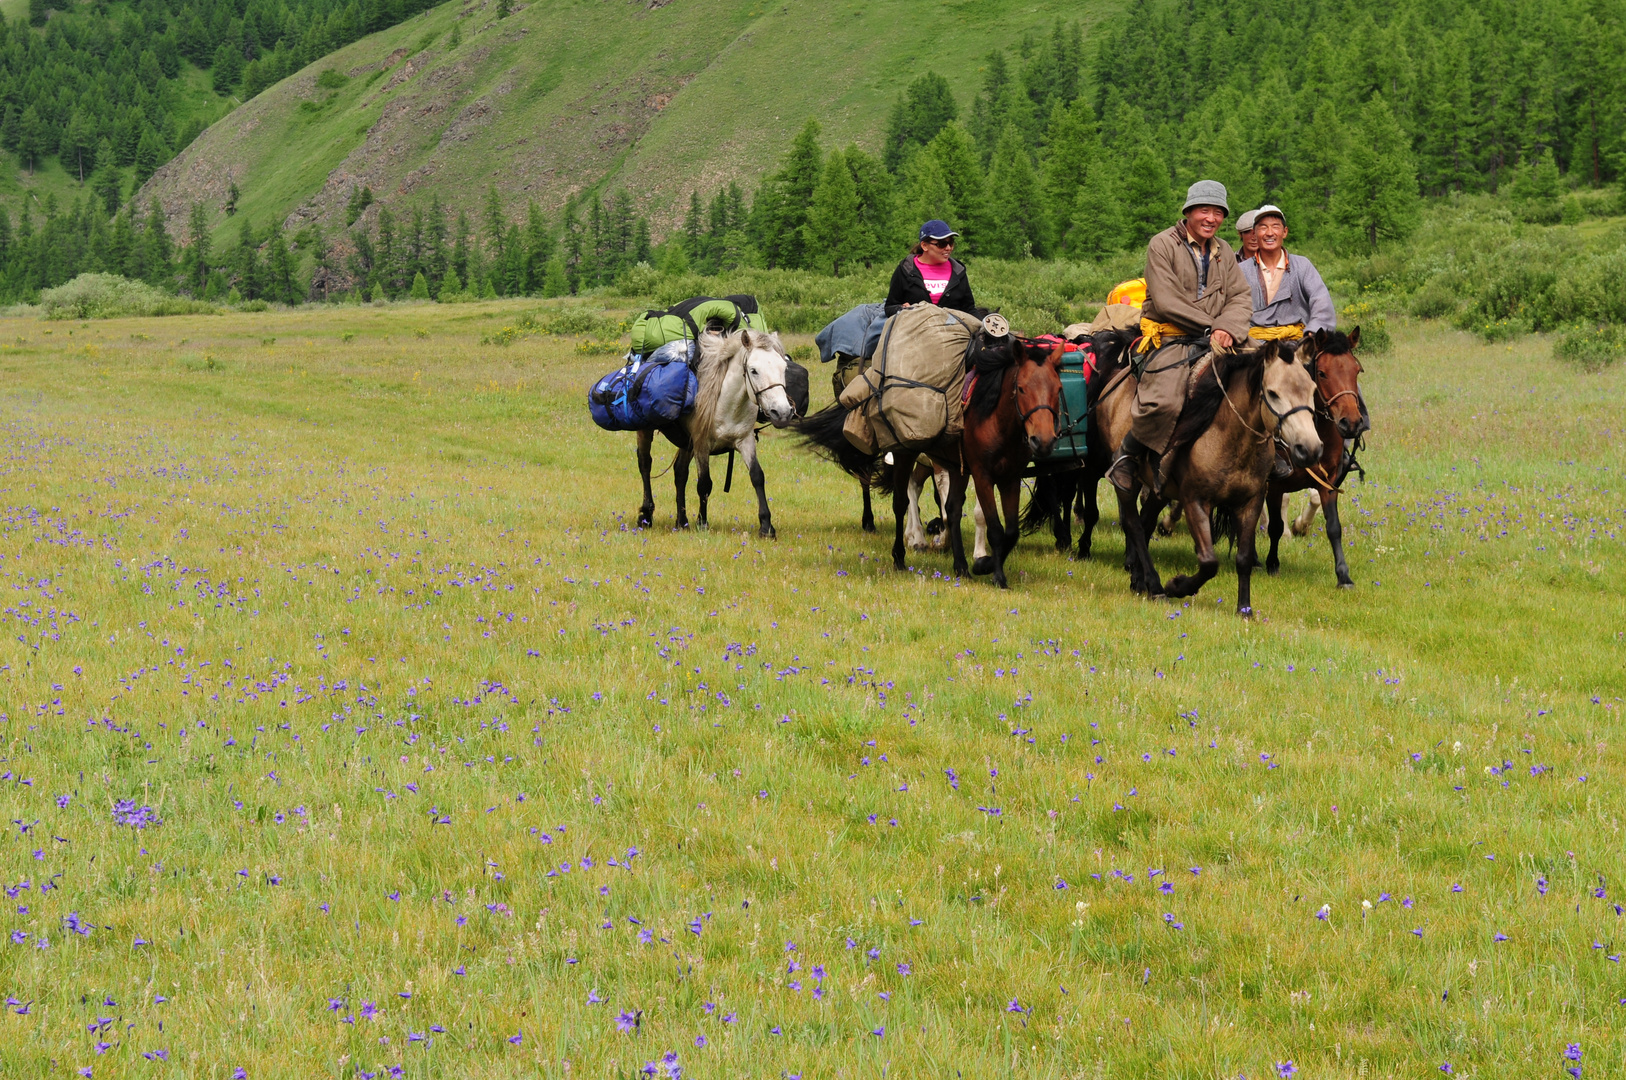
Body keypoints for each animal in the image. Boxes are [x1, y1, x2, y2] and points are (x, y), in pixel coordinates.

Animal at [634, 325, 793, 536]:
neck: (727, 403)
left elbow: (757, 476)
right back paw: (646, 515)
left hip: (687, 443)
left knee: (680, 473)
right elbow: (704, 484)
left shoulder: (745, 441)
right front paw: (702, 522)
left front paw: (766, 526)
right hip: (645, 431)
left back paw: (682, 520)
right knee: (645, 465)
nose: (782, 412)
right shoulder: (702, 444)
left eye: (784, 368)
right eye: (754, 370)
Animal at [1255, 326, 1372, 585]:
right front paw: (1272, 564)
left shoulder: (1328, 483)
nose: (1351, 423)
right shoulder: (1275, 486)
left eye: (1356, 370)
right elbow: (1276, 526)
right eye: (1322, 373)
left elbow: (1333, 526)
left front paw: (1343, 575)